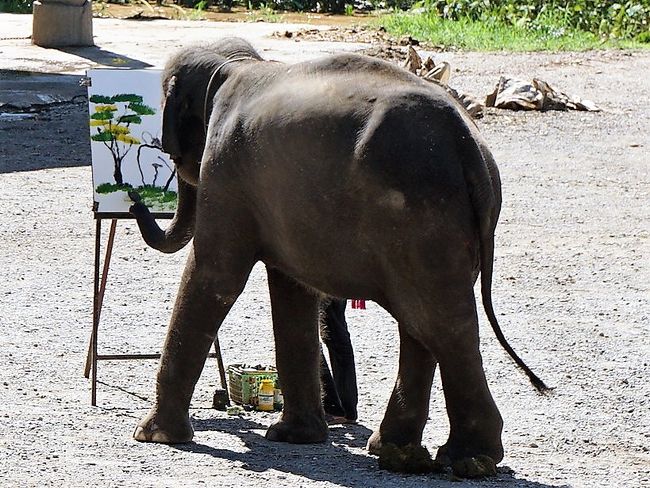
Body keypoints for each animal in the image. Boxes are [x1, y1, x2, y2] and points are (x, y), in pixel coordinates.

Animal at [128, 37, 548, 476]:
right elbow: (291, 290)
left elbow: (216, 274)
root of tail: (467, 145)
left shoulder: (226, 170)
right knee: (422, 324)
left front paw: (153, 436)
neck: (236, 65)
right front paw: (293, 437)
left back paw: (469, 459)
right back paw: (399, 453)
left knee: (443, 325)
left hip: (423, 218)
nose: (135, 199)